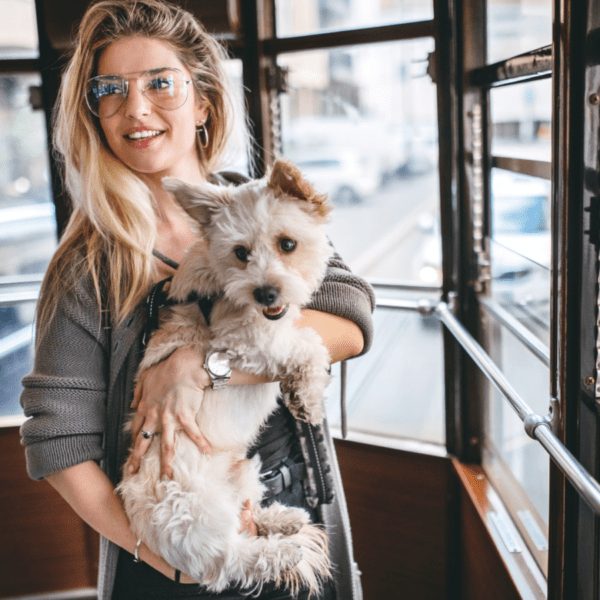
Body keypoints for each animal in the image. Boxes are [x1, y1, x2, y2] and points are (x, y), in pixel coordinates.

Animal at [117, 158, 332, 596]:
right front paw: (309, 395)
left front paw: (301, 392)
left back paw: (282, 520)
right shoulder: (242, 343)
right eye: (240, 252)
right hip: (197, 516)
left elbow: (305, 338)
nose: (265, 293)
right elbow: (308, 344)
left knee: (247, 521)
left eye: (287, 244)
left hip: (243, 476)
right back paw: (280, 553)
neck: (222, 285)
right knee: (232, 560)